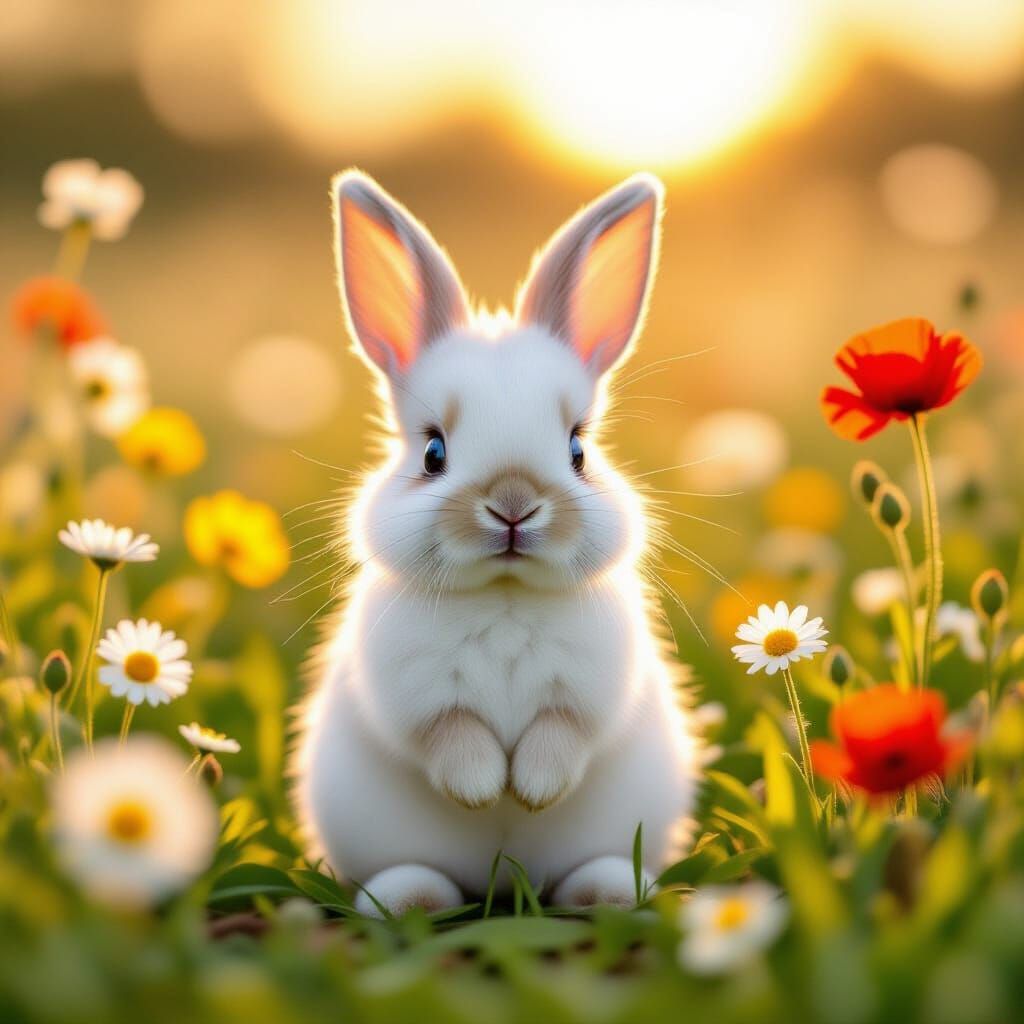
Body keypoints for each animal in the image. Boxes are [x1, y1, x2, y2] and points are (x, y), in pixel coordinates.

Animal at [292, 169, 700, 917]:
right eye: (433, 453)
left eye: (577, 450)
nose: (513, 505)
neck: (504, 594)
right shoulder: (412, 694)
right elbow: (450, 734)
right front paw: (485, 790)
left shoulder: (591, 690)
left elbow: (562, 732)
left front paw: (531, 791)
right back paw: (408, 900)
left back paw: (610, 893)